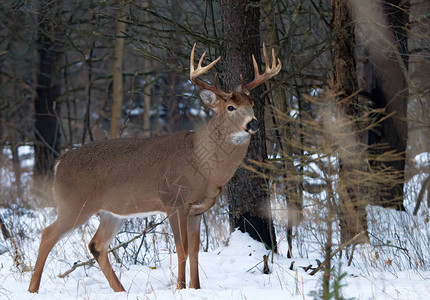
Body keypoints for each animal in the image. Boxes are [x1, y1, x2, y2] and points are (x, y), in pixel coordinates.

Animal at [27, 42, 282, 292]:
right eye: (230, 107)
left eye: (251, 104)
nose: (253, 123)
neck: (204, 166)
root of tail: (59, 163)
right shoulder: (173, 201)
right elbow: (182, 248)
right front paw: (180, 288)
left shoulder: (198, 209)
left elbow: (196, 251)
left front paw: (196, 287)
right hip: (73, 204)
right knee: (47, 234)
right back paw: (33, 289)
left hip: (110, 212)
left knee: (96, 244)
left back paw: (121, 290)